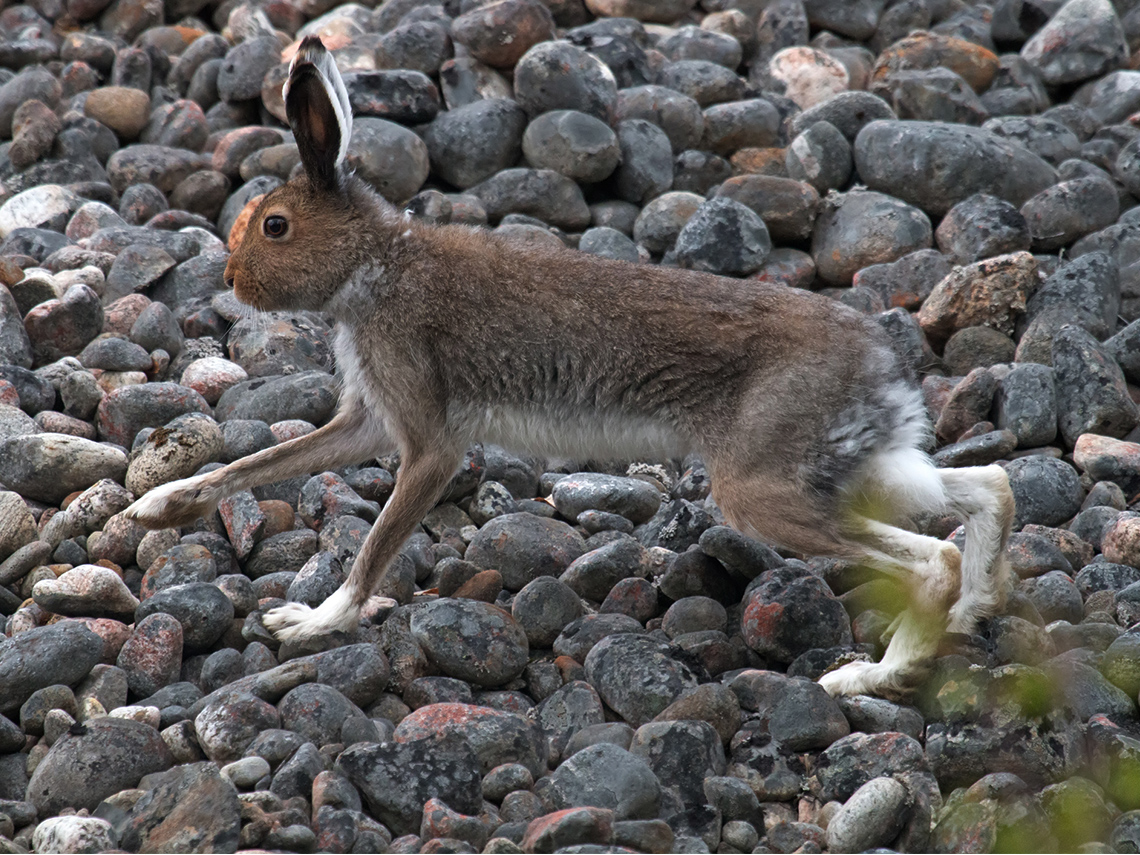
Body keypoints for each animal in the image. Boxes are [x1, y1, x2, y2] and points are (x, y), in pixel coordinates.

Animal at [124, 35, 1015, 698]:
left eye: (273, 225)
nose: (232, 280)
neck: (376, 264)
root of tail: (882, 364)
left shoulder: (428, 440)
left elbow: (376, 546)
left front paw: (310, 623)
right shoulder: (368, 421)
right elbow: (257, 464)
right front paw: (157, 506)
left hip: (761, 485)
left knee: (927, 555)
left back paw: (870, 675)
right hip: (848, 465)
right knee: (988, 488)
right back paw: (971, 609)